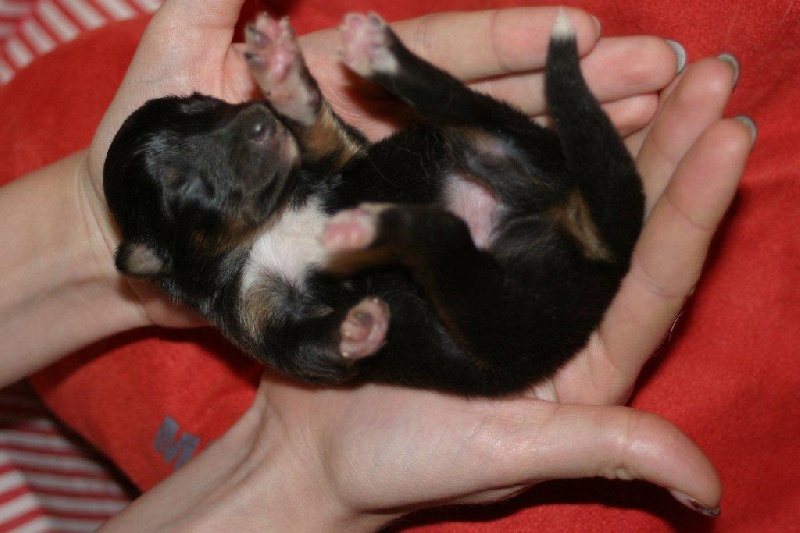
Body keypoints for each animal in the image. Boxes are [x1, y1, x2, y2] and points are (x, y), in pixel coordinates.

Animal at [103, 11, 644, 396]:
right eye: (181, 187)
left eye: (206, 106)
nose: (261, 120)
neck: (270, 225)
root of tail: (606, 250)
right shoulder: (260, 327)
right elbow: (311, 349)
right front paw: (357, 325)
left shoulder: (345, 161)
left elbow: (326, 135)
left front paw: (286, 85)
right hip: (505, 316)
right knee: (444, 239)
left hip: (487, 149)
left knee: (460, 109)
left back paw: (377, 58)